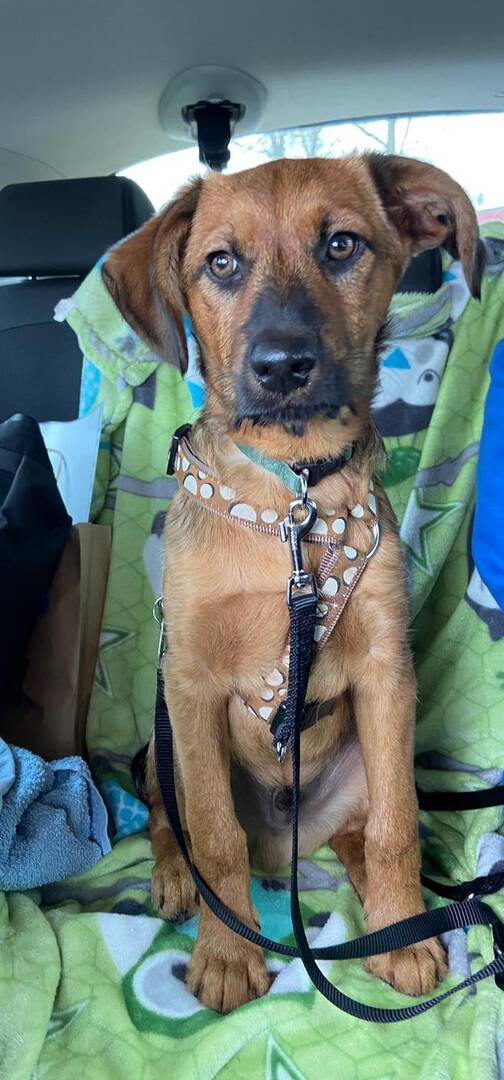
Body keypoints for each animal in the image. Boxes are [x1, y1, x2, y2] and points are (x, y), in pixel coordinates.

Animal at [103, 154, 482, 1013]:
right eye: (220, 263)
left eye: (341, 245)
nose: (281, 367)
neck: (293, 500)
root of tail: (284, 839)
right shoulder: (189, 681)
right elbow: (214, 836)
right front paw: (226, 955)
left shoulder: (386, 673)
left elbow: (397, 828)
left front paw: (401, 931)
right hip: (161, 746)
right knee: (173, 820)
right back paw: (175, 881)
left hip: (358, 762)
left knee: (359, 829)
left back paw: (378, 906)